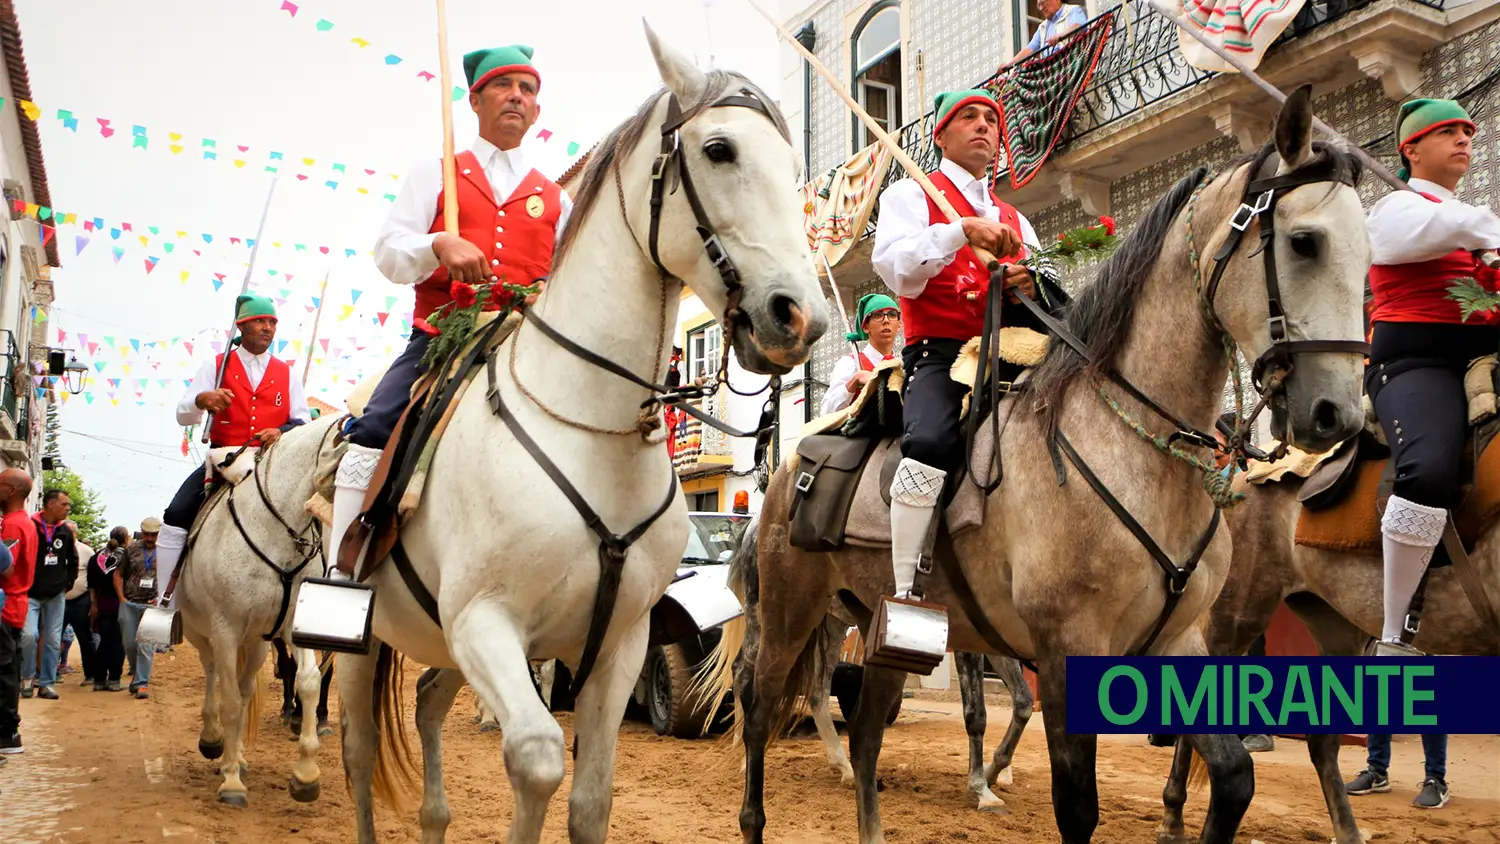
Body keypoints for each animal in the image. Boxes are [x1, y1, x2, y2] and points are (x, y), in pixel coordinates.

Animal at [174, 416, 342, 803]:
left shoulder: (294, 625)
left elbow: (308, 682)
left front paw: (306, 774)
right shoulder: (225, 630)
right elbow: (231, 703)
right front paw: (232, 783)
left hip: (256, 644)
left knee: (246, 685)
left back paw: (237, 755)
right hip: (201, 633)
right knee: (213, 674)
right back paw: (214, 742)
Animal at [339, 26, 828, 844]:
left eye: (795, 169)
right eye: (719, 149)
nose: (801, 317)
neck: (593, 430)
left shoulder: (620, 645)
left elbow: (592, 799)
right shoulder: (486, 623)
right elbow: (537, 760)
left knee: (427, 704)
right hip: (355, 634)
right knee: (358, 746)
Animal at [708, 87, 1374, 844]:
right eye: (1304, 241)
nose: (1337, 415)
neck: (1135, 451)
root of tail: (788, 468)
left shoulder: (1178, 640)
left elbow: (1235, 778)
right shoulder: (1064, 652)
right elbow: (1076, 806)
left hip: (884, 632)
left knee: (868, 735)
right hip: (791, 612)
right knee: (759, 711)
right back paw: (755, 818)